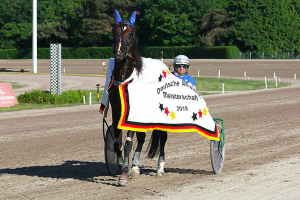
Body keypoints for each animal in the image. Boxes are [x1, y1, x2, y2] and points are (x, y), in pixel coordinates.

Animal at [109, 10, 168, 186]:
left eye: (130, 33)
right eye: (114, 31)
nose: (119, 52)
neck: (125, 78)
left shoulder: (131, 113)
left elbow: (128, 142)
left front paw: (123, 174)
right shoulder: (116, 110)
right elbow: (117, 140)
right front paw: (122, 165)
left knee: (162, 137)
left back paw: (160, 167)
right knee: (142, 137)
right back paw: (135, 167)